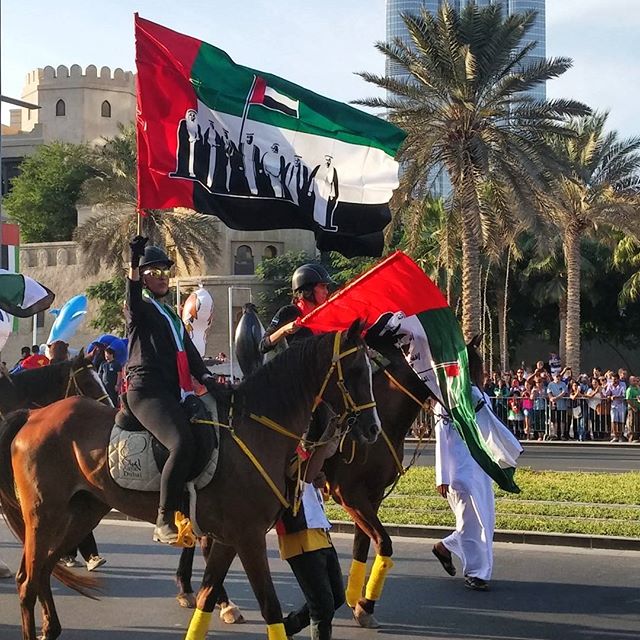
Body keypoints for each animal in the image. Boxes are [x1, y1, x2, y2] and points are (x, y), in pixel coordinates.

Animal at [0, 324, 380, 640]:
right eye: (357, 371)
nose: (373, 429)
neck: (254, 427)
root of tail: (33, 415)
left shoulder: (229, 539)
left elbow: (207, 597)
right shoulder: (249, 538)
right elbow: (269, 607)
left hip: (81, 512)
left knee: (42, 570)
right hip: (44, 516)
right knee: (28, 581)